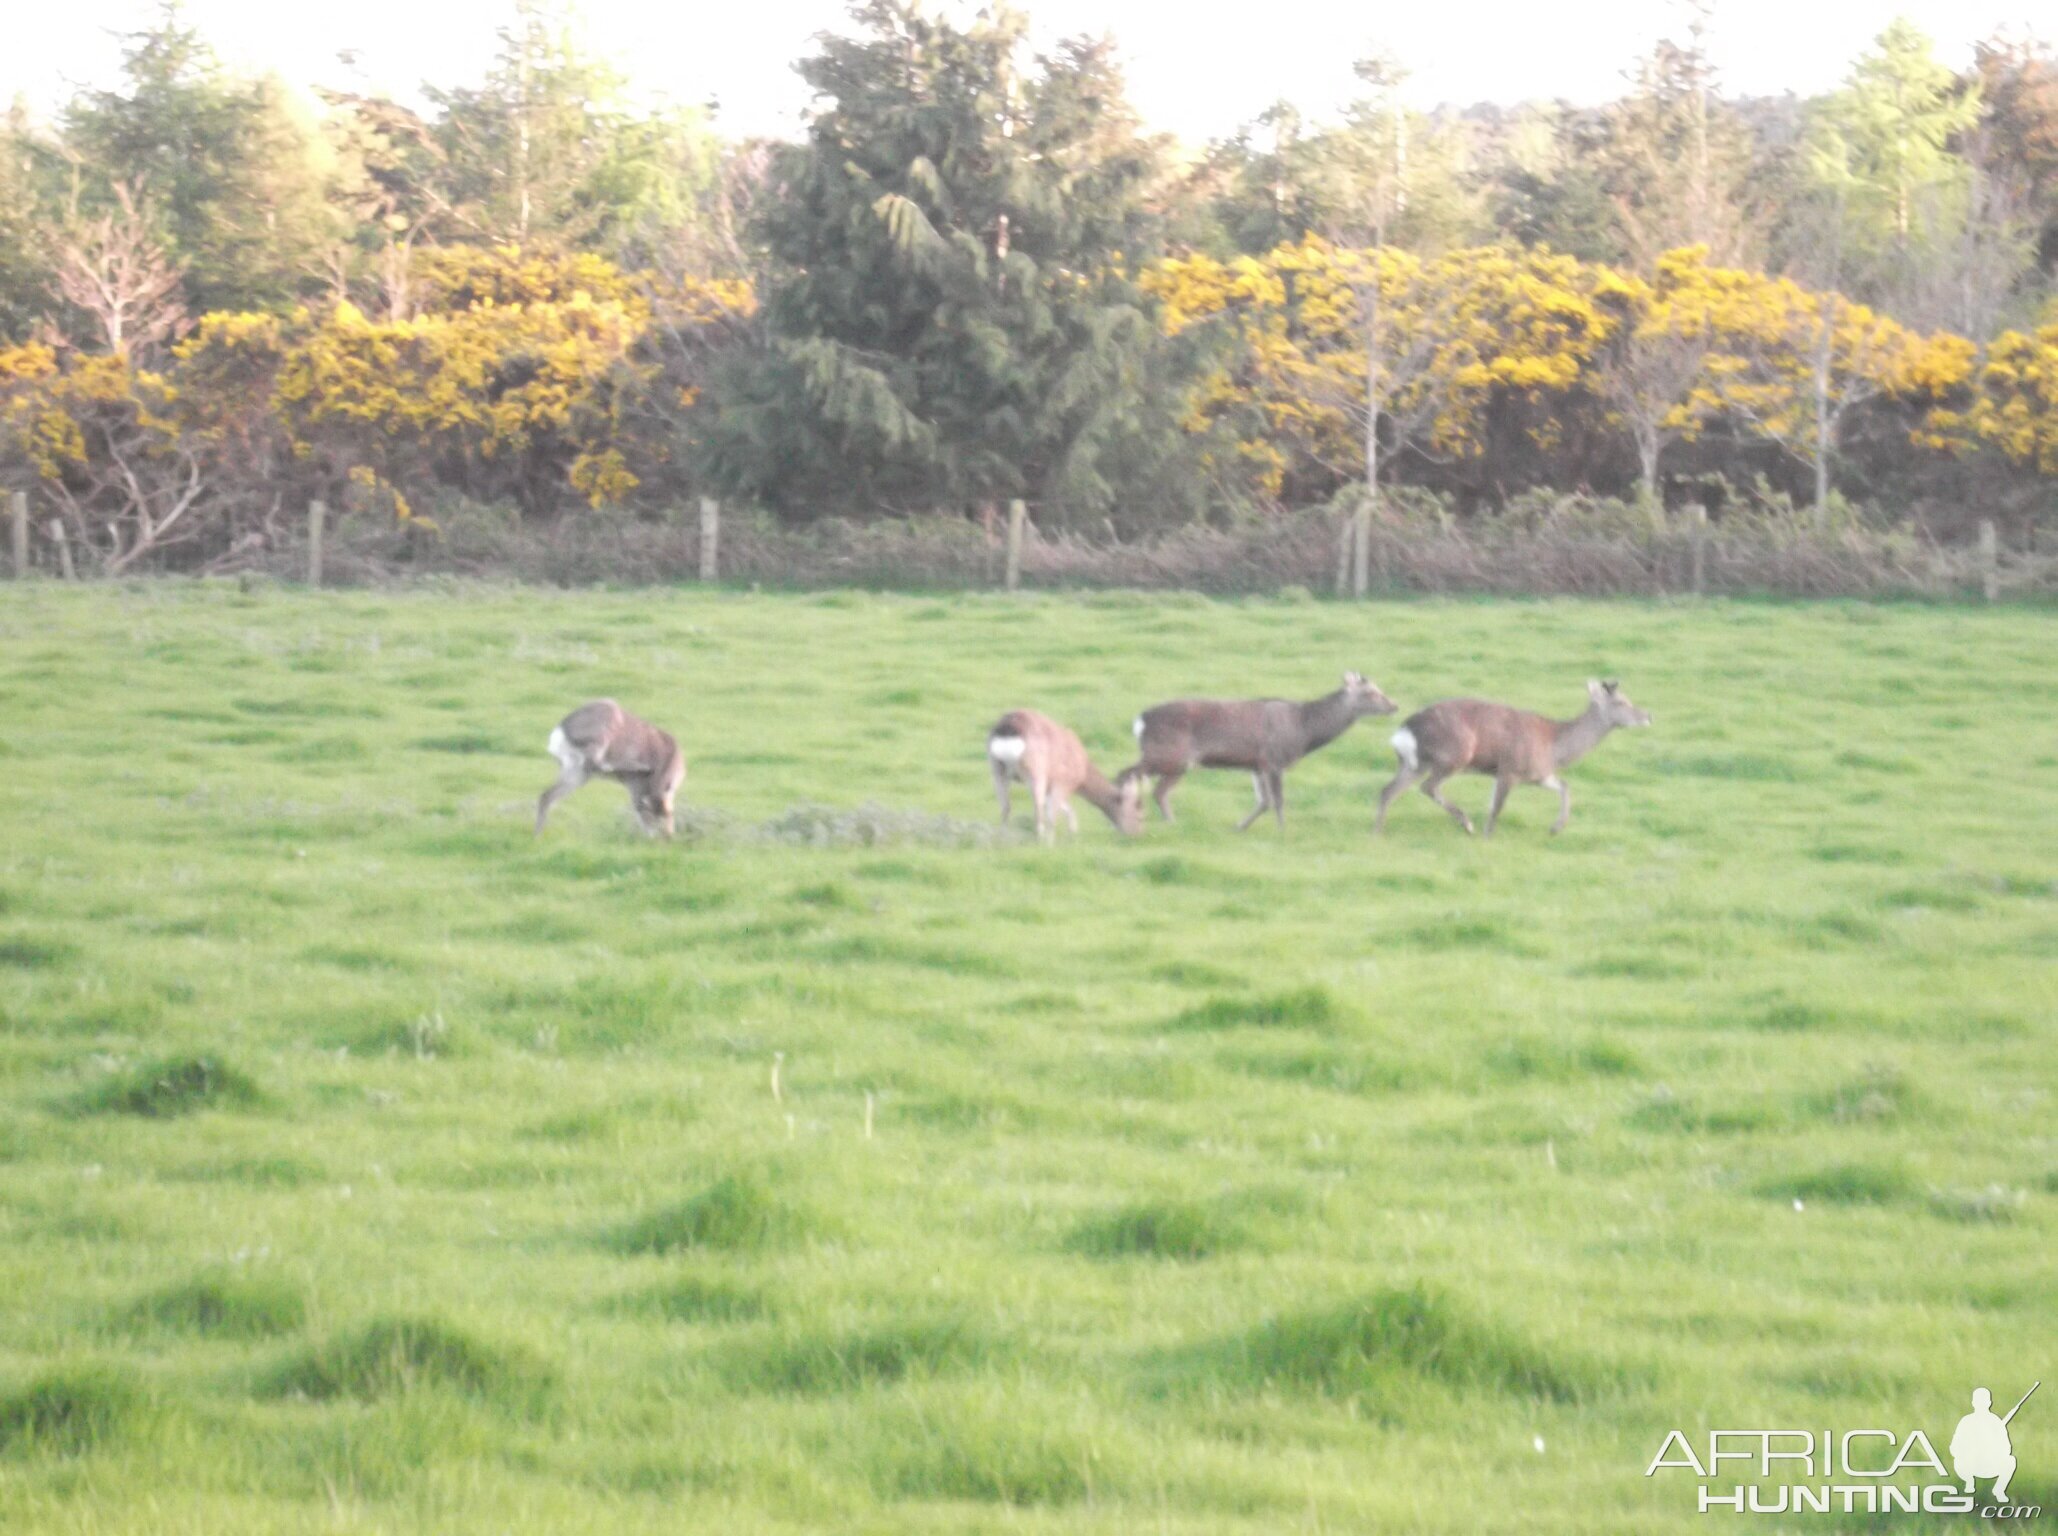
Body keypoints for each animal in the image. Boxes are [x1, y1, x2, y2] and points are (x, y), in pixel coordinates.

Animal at [535, 695, 687, 835]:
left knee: (547, 795)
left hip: (577, 771)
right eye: (650, 817)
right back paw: (639, 766)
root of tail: (558, 733)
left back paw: (538, 835)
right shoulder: (635, 784)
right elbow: (637, 806)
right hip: (604, 727)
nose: (664, 839)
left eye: (666, 817)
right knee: (597, 762)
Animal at [983, 708, 1144, 844]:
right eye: (1138, 814)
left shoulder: (1053, 785)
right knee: (1037, 807)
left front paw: (1073, 832)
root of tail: (1007, 728)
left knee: (1005, 806)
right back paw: (1039, 839)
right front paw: (1051, 842)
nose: (1136, 834)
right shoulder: (1063, 781)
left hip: (996, 768)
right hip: (1035, 770)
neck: (1081, 771)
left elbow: (1063, 808)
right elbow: (1052, 812)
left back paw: (1002, 838)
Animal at [1127, 667, 1399, 827]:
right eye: (1371, 692)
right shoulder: (1275, 758)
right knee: (1145, 782)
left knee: (1151, 786)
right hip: (1174, 756)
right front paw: (1283, 831)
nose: (1394, 705)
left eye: (1379, 690)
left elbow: (1264, 802)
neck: (1303, 730)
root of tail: (1140, 720)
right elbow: (1278, 800)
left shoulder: (1257, 765)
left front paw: (1239, 827)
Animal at [1382, 671, 1654, 831]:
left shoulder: (1538, 774)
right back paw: (1466, 823)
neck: (1554, 747)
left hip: (1415, 763)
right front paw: (1486, 837)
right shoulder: (1510, 769)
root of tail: (1404, 730)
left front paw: (1556, 828)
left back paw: (1378, 833)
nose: (1648, 716)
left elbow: (1564, 786)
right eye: (1621, 702)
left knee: (1388, 791)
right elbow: (1496, 810)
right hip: (1454, 754)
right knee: (1428, 787)